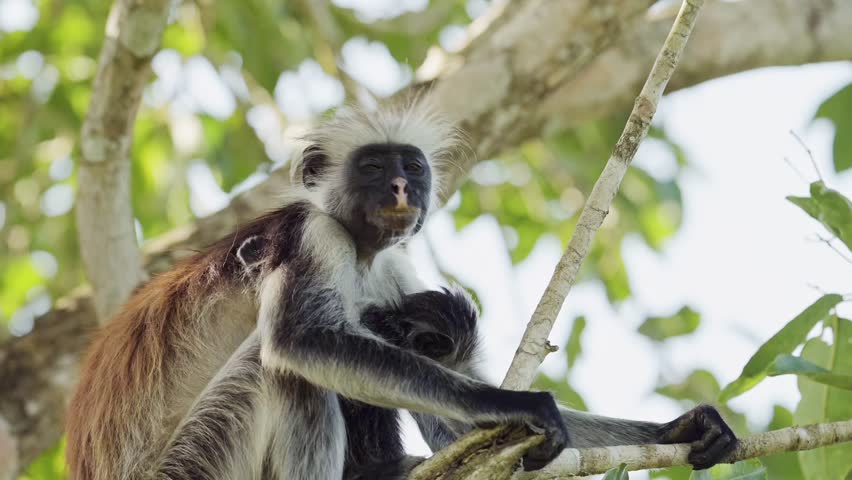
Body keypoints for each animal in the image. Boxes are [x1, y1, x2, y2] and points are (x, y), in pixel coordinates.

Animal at [65, 101, 735, 480]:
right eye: (371, 167)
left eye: (410, 167)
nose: (399, 189)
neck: (360, 251)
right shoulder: (315, 234)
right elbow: (300, 342)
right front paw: (518, 404)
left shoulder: (395, 272)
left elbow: (457, 424)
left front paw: (681, 430)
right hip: (192, 468)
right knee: (281, 368)